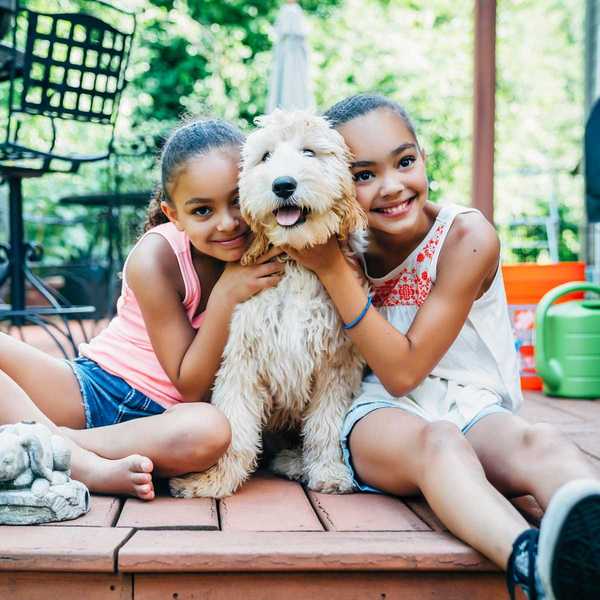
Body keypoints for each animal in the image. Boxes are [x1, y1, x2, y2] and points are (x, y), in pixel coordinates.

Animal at [169, 110, 366, 500]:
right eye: (265, 157)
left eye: (309, 152)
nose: (283, 184)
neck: (294, 264)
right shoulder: (242, 361)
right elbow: (235, 432)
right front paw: (213, 481)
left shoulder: (336, 364)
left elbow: (325, 426)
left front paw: (330, 472)